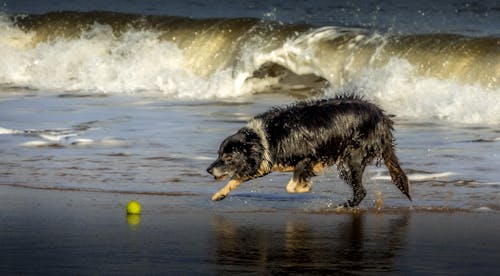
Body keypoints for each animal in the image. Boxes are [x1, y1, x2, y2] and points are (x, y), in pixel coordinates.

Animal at [206, 95, 410, 207]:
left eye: (228, 156)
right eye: (219, 154)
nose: (208, 170)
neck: (265, 138)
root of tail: (382, 117)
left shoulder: (307, 157)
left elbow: (291, 186)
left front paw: (306, 186)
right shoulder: (263, 163)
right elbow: (236, 178)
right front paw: (220, 194)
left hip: (353, 157)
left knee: (361, 191)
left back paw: (344, 206)